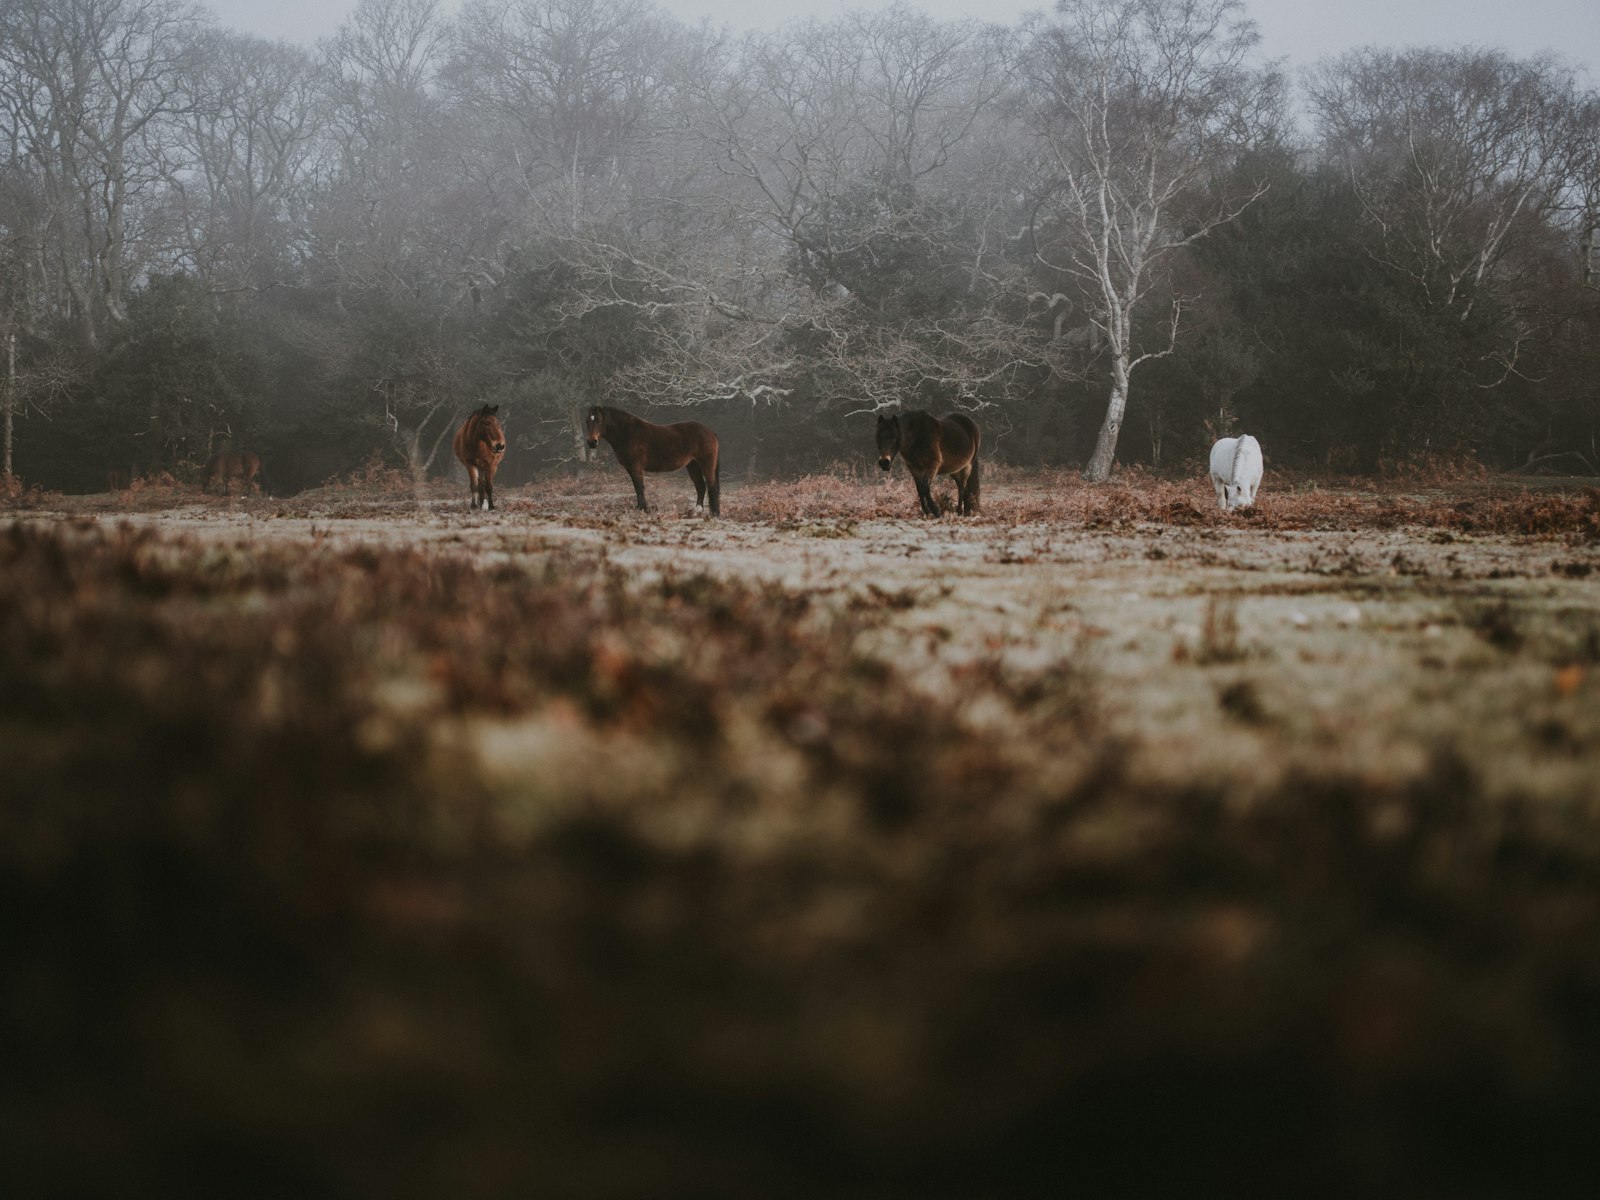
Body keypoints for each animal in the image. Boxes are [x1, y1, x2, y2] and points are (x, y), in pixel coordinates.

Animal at [585, 406, 723, 518]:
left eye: (598, 420)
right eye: (587, 421)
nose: (592, 442)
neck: (627, 433)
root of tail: (711, 432)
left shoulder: (636, 467)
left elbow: (639, 487)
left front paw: (643, 509)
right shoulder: (631, 468)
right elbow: (637, 487)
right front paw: (641, 507)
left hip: (706, 464)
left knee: (712, 486)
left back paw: (715, 514)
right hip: (692, 465)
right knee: (700, 486)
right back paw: (697, 511)